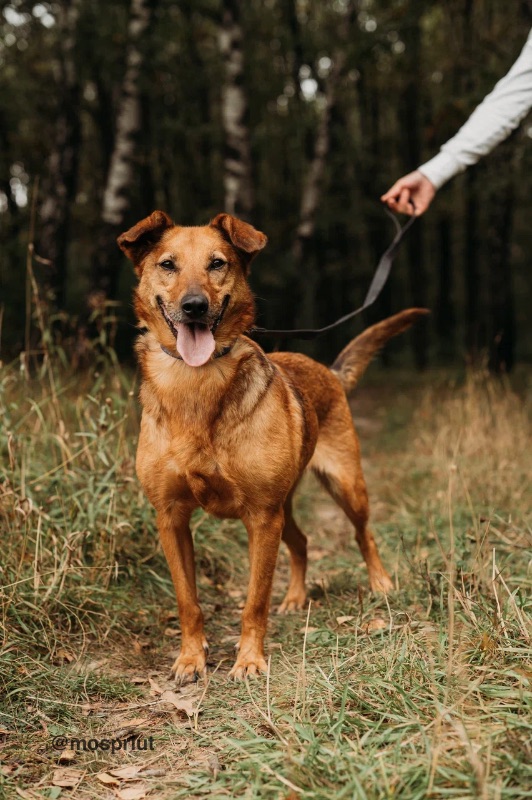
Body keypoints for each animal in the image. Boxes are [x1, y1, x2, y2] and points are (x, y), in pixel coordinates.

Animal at [118, 211, 426, 680]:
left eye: (218, 263)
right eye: (167, 264)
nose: (194, 306)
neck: (196, 383)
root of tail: (330, 370)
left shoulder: (262, 518)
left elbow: (255, 600)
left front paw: (249, 659)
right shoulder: (171, 518)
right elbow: (188, 601)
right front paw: (191, 657)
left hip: (344, 486)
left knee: (363, 535)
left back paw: (380, 583)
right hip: (286, 505)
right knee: (301, 542)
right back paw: (297, 597)